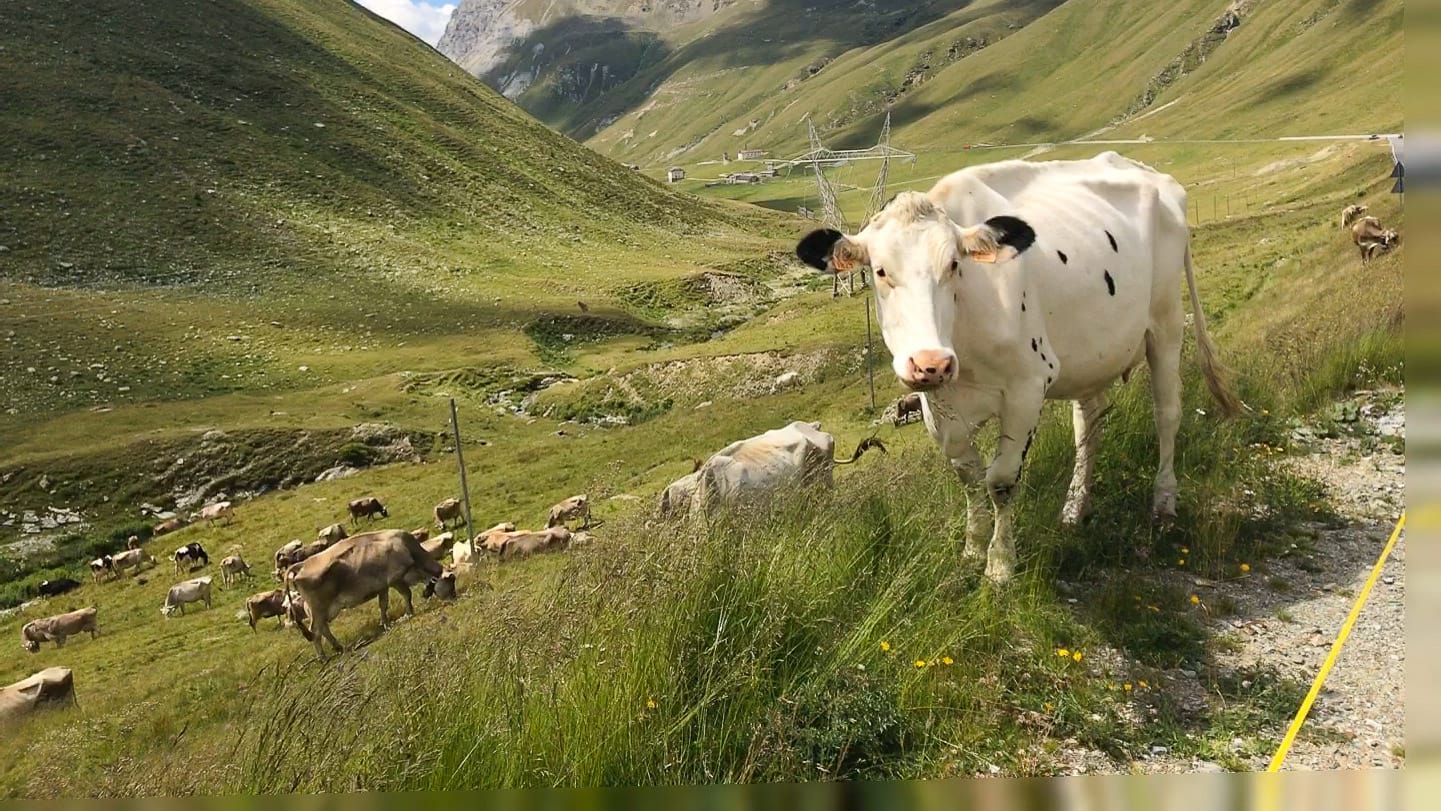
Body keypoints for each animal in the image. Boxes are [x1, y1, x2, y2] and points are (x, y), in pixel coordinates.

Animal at [284, 529, 449, 660]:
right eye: (451, 580)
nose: (453, 597)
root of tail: (302, 564)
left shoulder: (383, 586)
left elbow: (383, 605)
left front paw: (386, 624)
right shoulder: (395, 579)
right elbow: (407, 595)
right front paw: (409, 613)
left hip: (320, 610)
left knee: (323, 629)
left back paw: (339, 647)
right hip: (318, 608)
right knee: (315, 631)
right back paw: (323, 657)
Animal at [794, 151, 1242, 583]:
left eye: (954, 266)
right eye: (880, 271)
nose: (931, 363)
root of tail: (1150, 172)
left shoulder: (1028, 386)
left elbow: (1001, 481)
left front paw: (1000, 565)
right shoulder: (938, 407)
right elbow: (969, 476)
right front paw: (972, 549)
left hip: (1166, 325)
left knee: (1166, 413)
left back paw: (1163, 503)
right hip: (1091, 355)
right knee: (1089, 426)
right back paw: (1074, 508)